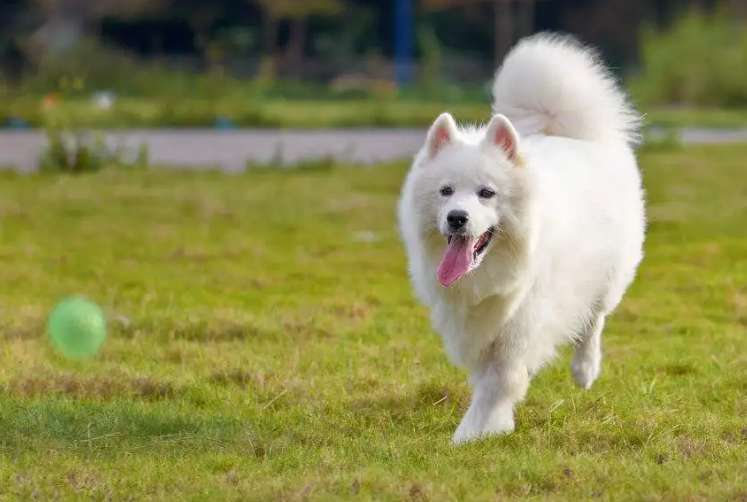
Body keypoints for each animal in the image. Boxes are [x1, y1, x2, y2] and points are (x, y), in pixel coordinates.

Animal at [400, 34, 644, 444]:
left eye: (486, 193)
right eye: (445, 191)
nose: (456, 218)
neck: (492, 269)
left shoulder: (523, 323)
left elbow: (500, 381)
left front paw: (471, 433)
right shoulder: (474, 324)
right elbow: (489, 378)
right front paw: (496, 423)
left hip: (608, 276)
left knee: (594, 318)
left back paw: (585, 369)